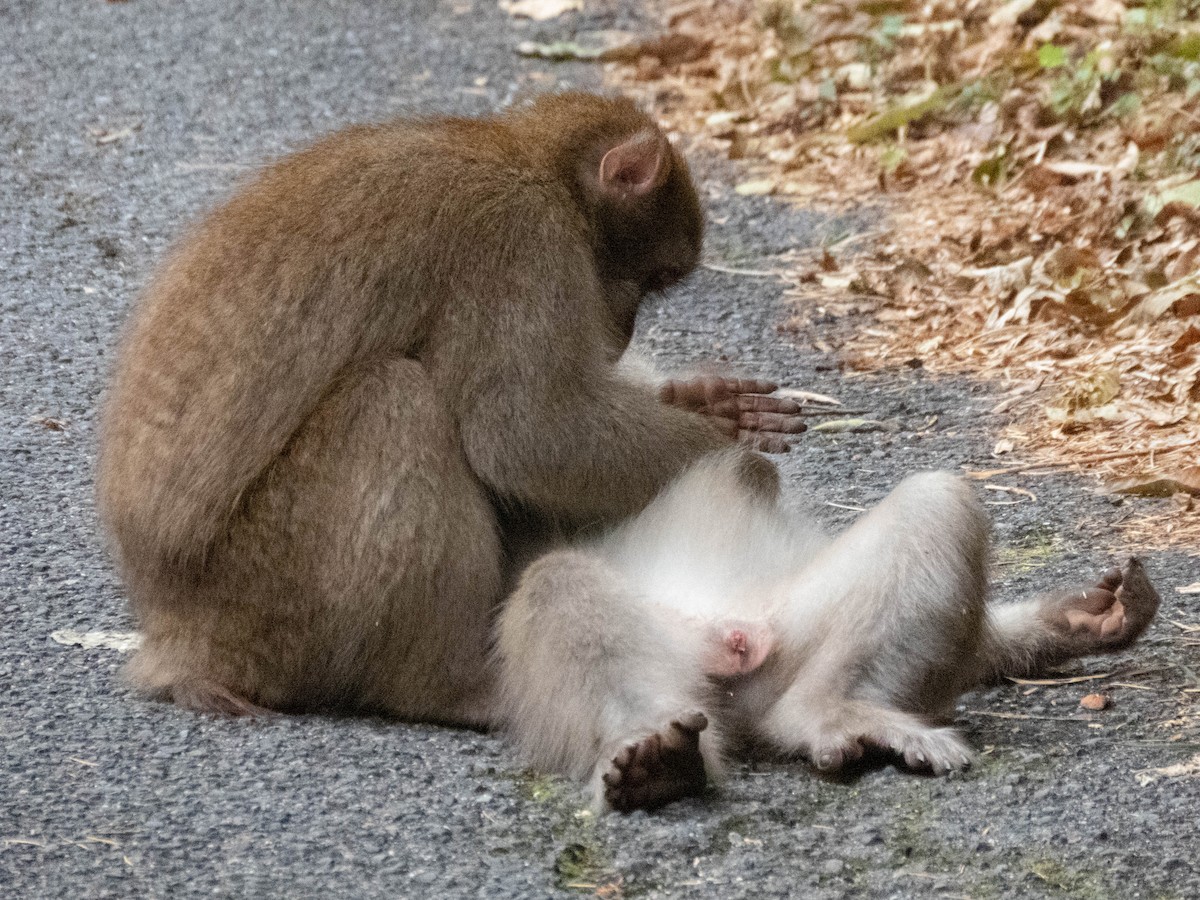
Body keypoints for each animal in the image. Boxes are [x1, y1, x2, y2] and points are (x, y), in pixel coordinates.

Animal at [96, 92, 806, 724]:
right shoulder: (522, 240)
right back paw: (445, 690)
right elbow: (528, 436)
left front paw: (707, 402)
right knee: (395, 401)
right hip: (268, 598)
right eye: (652, 278)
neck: (529, 159)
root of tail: (178, 641)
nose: (625, 331)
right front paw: (729, 453)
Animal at [495, 454, 1161, 813]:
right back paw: (656, 757)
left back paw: (826, 712)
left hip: (786, 628)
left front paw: (1079, 619)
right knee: (556, 580)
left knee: (936, 502)